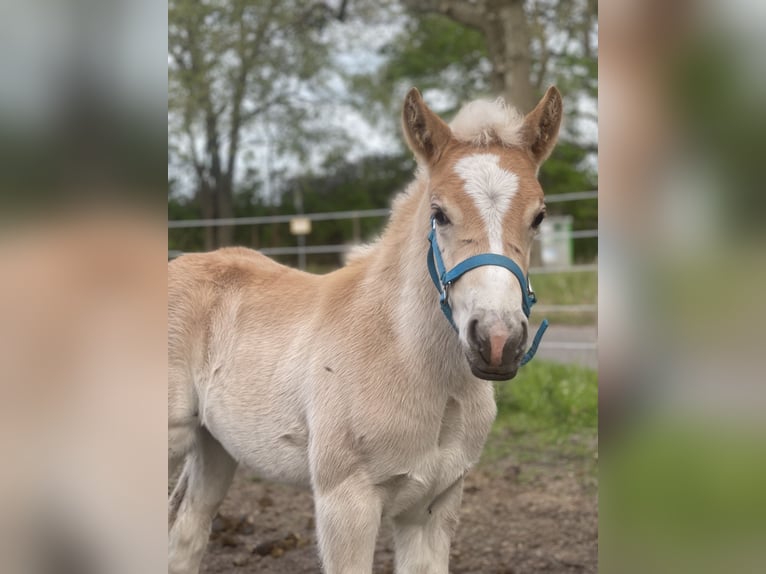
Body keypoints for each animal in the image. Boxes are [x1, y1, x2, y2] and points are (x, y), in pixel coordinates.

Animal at [170, 86, 564, 574]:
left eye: (539, 216)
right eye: (439, 213)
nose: (496, 342)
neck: (409, 363)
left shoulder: (433, 506)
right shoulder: (345, 504)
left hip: (215, 446)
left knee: (186, 533)